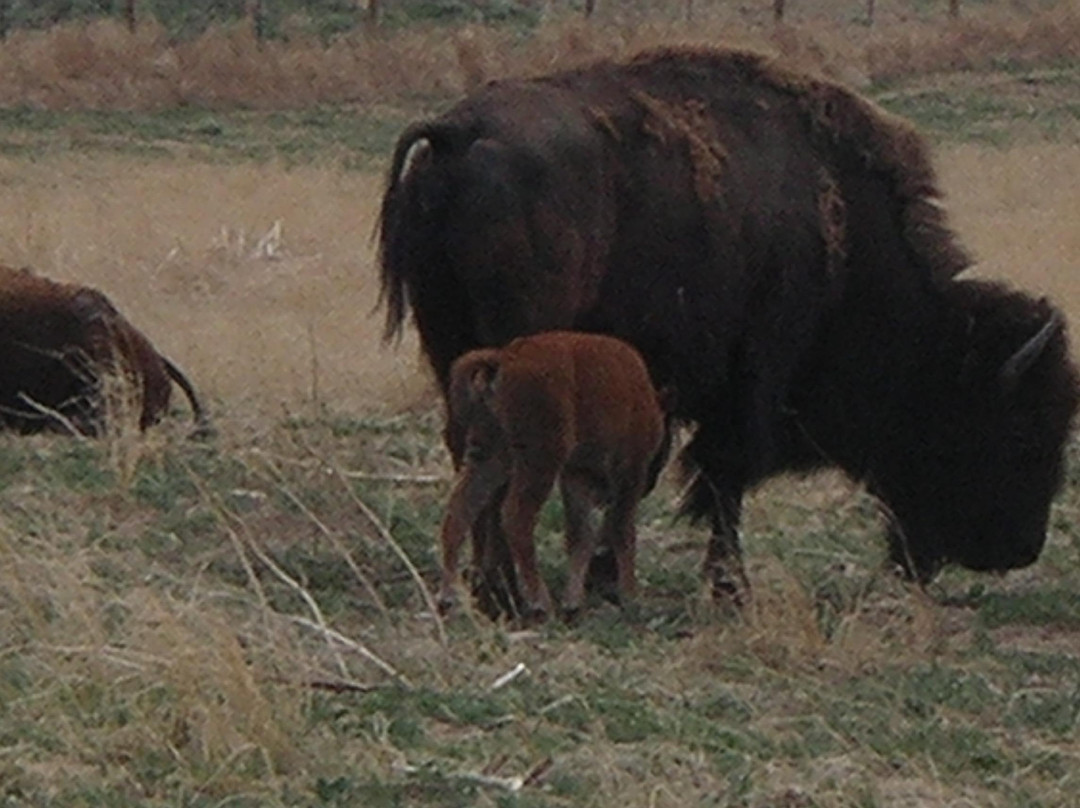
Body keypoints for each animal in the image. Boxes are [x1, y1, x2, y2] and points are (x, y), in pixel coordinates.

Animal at [438, 331, 670, 620]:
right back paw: (540, 603)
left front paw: (573, 602)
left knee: (460, 509)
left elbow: (581, 535)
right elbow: (622, 530)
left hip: (490, 454)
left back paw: (449, 597)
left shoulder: (576, 475)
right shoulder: (629, 471)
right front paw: (630, 597)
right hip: (540, 460)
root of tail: (504, 358)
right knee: (516, 517)